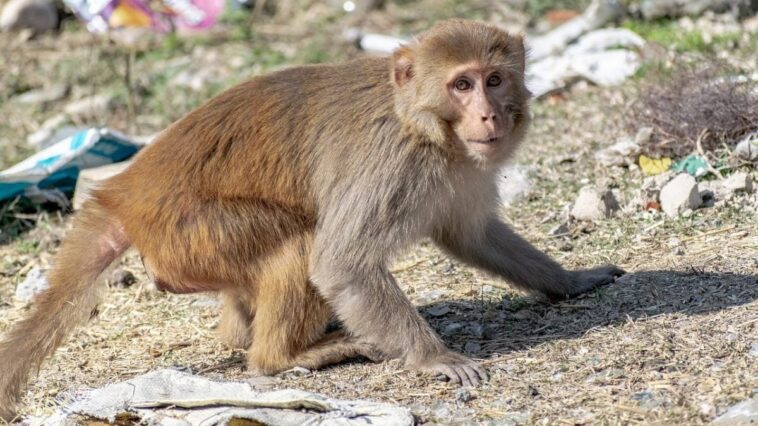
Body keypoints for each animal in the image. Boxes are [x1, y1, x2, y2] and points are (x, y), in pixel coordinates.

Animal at [0, 19, 625, 420]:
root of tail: (123, 194)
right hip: (192, 232)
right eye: (462, 84)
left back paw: (250, 334)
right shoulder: (392, 163)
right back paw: (284, 357)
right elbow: (341, 262)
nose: (489, 115)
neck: (424, 125)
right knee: (298, 245)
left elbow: (471, 235)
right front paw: (435, 358)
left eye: (494, 79)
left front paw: (570, 280)